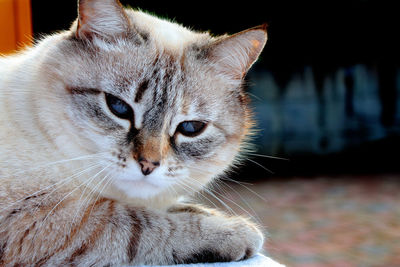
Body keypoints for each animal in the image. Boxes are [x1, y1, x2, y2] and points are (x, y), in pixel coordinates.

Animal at [0, 0, 268, 264]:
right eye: (118, 107)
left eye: (190, 128)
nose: (148, 165)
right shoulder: (38, 218)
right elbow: (143, 224)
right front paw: (237, 231)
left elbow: (175, 208)